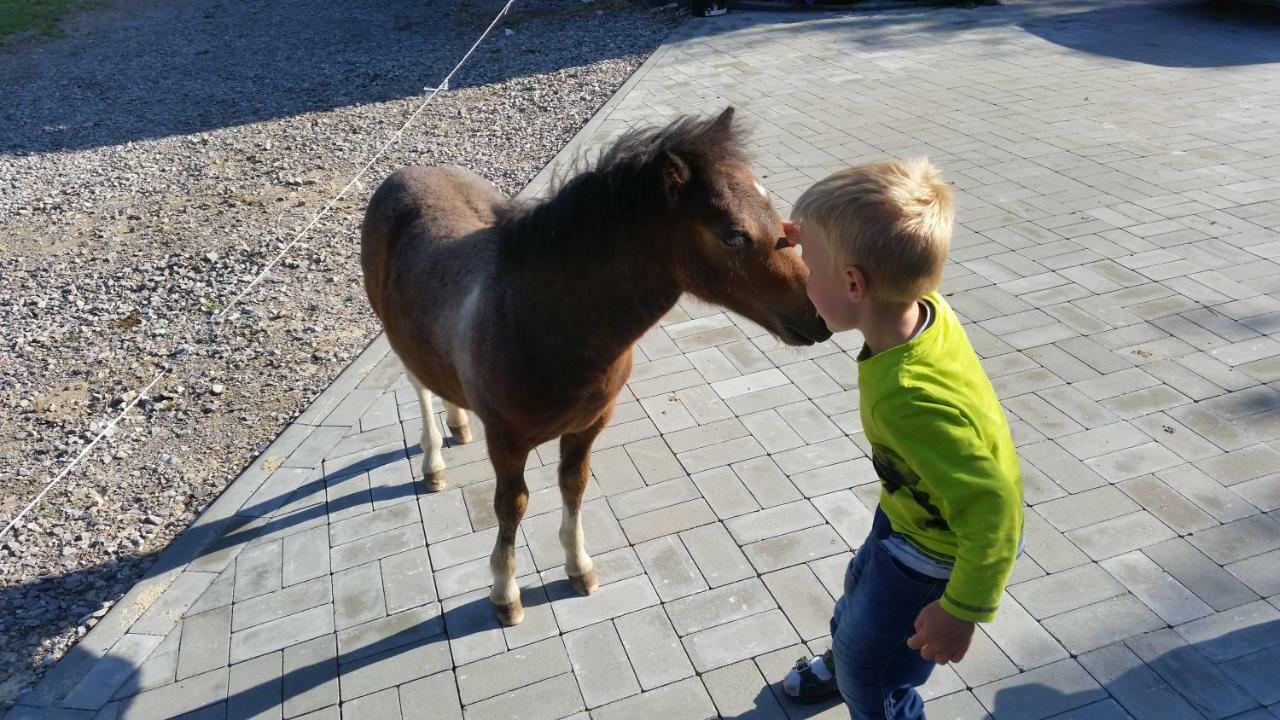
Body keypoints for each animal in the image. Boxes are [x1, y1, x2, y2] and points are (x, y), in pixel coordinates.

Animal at [360, 106, 829, 622]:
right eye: (732, 236)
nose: (820, 315)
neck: (546, 323)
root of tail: (404, 173)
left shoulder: (588, 427)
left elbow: (574, 487)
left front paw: (578, 567)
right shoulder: (506, 440)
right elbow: (512, 505)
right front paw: (505, 594)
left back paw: (459, 423)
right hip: (394, 330)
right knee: (417, 381)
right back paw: (433, 462)